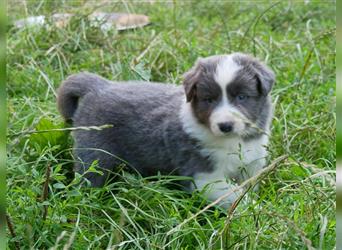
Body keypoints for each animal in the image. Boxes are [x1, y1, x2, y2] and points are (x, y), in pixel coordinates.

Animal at [56, 52, 276, 207]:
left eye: (242, 97)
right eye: (209, 100)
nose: (225, 125)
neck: (234, 141)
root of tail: (99, 86)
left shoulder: (252, 164)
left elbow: (247, 187)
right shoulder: (204, 176)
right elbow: (234, 197)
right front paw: (255, 210)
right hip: (94, 154)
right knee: (89, 178)